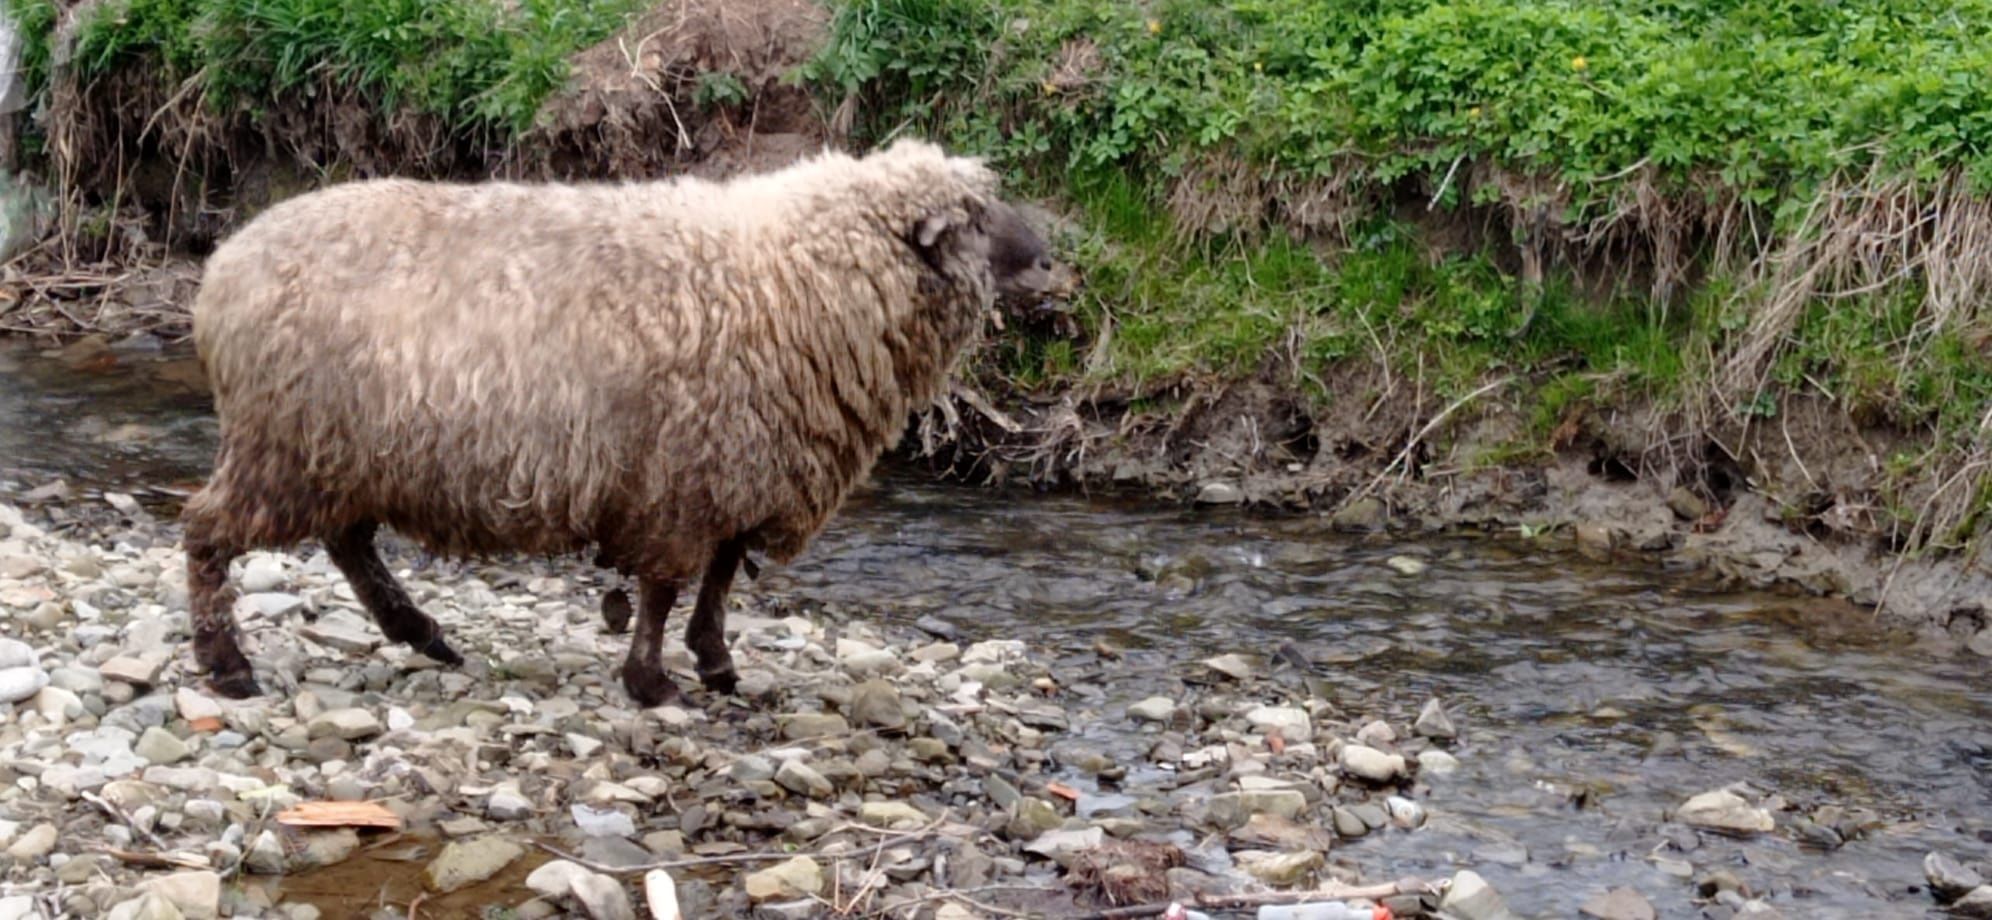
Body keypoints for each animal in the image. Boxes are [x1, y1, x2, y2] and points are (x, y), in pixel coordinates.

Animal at [179, 138, 1067, 704]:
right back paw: (227, 664)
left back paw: (419, 632)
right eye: (976, 216)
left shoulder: (737, 466)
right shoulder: (683, 475)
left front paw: (716, 663)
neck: (790, 276)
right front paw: (654, 682)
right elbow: (665, 587)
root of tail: (221, 270)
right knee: (207, 532)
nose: (1055, 261)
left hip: (342, 450)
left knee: (349, 544)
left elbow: (719, 575)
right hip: (286, 444)